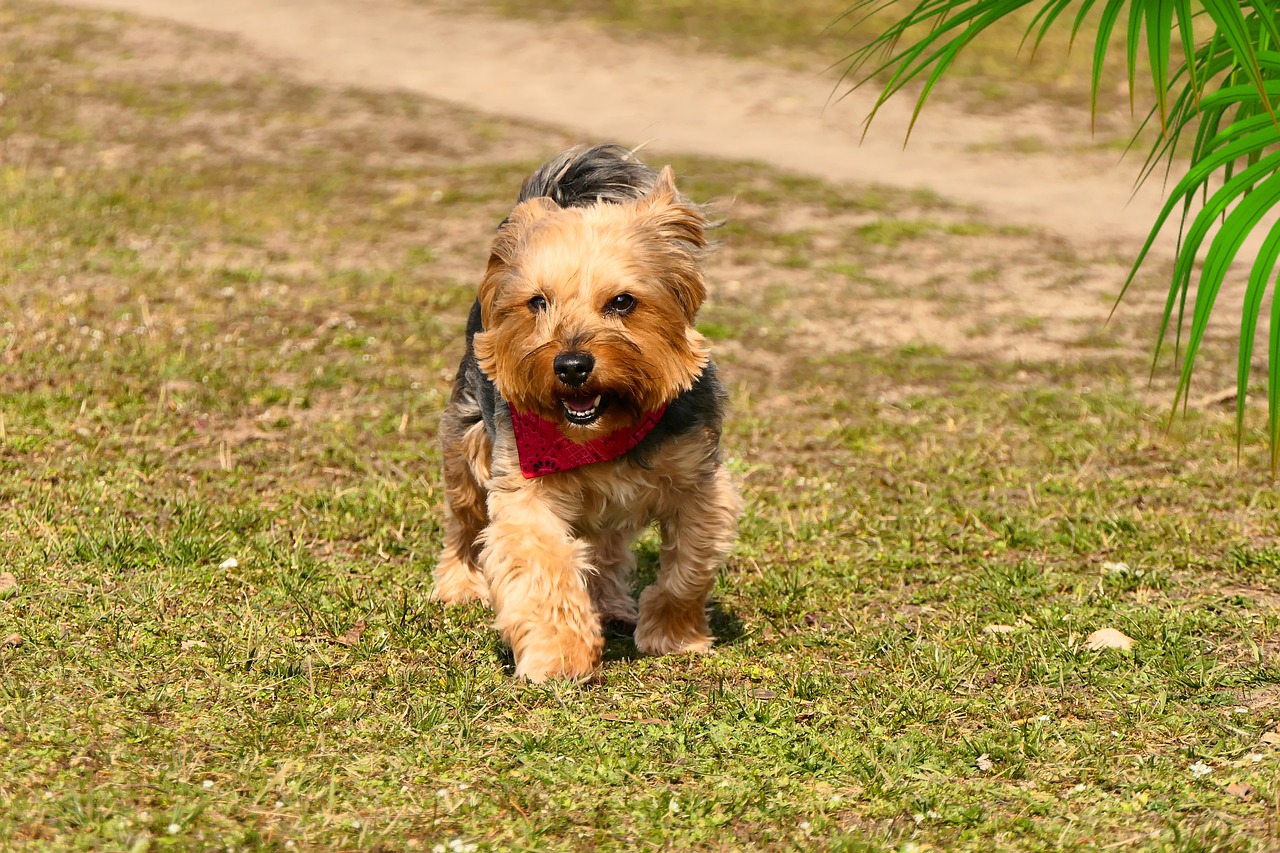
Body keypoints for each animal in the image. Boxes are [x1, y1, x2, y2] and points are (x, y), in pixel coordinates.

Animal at [432, 144, 742, 676]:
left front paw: (674, 636)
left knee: (607, 547)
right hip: (467, 434)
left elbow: (689, 567)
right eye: (537, 302)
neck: (604, 431)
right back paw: (458, 585)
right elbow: (542, 567)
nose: (572, 365)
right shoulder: (524, 488)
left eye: (623, 301)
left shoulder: (699, 483)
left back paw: (612, 603)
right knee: (466, 521)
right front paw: (560, 655)